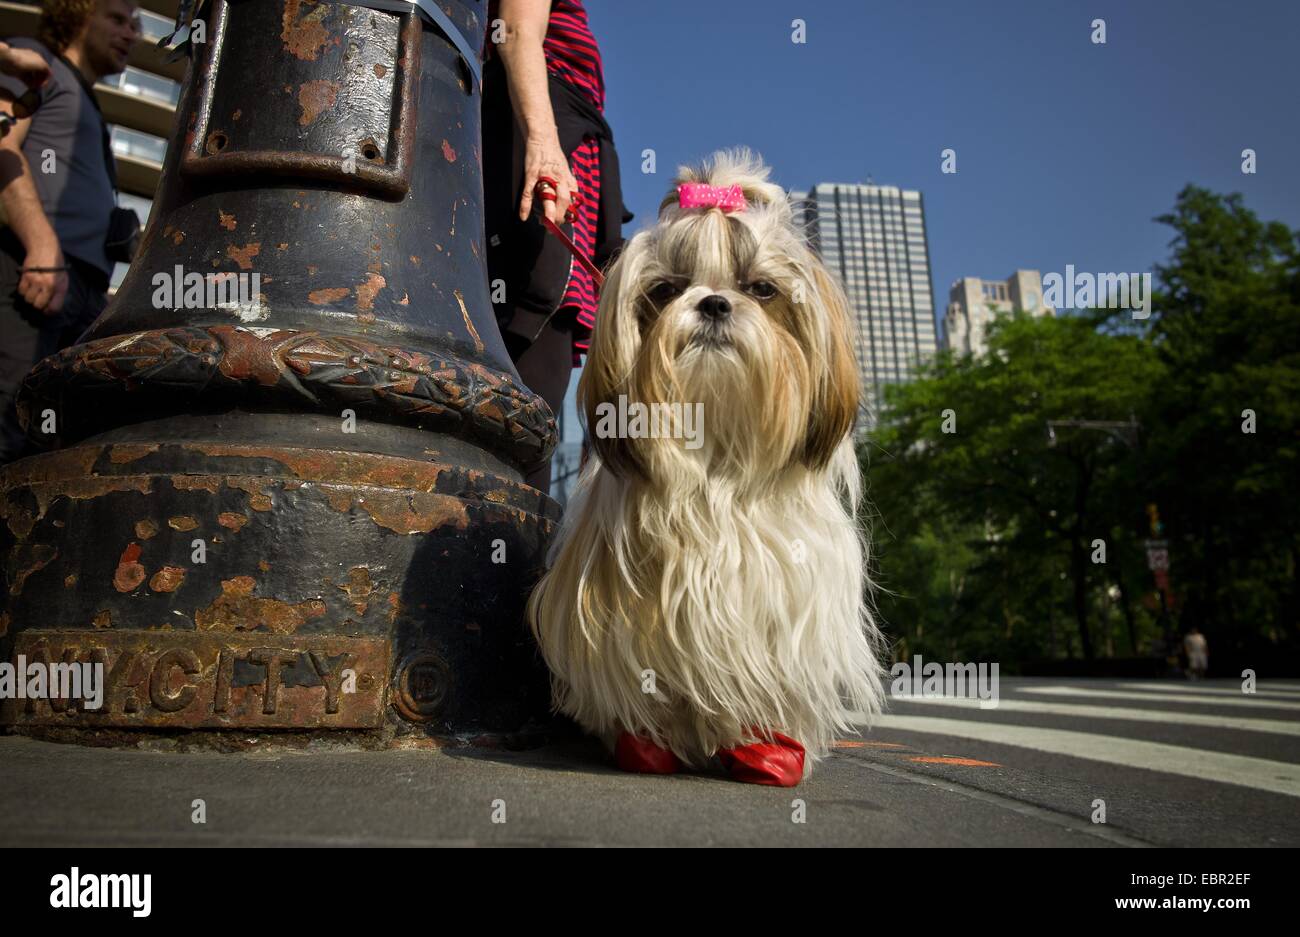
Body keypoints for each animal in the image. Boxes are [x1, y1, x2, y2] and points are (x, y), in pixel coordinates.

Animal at [525, 150, 883, 784]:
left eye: (761, 289)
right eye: (666, 289)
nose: (713, 302)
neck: (717, 456)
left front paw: (765, 748)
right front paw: (645, 743)